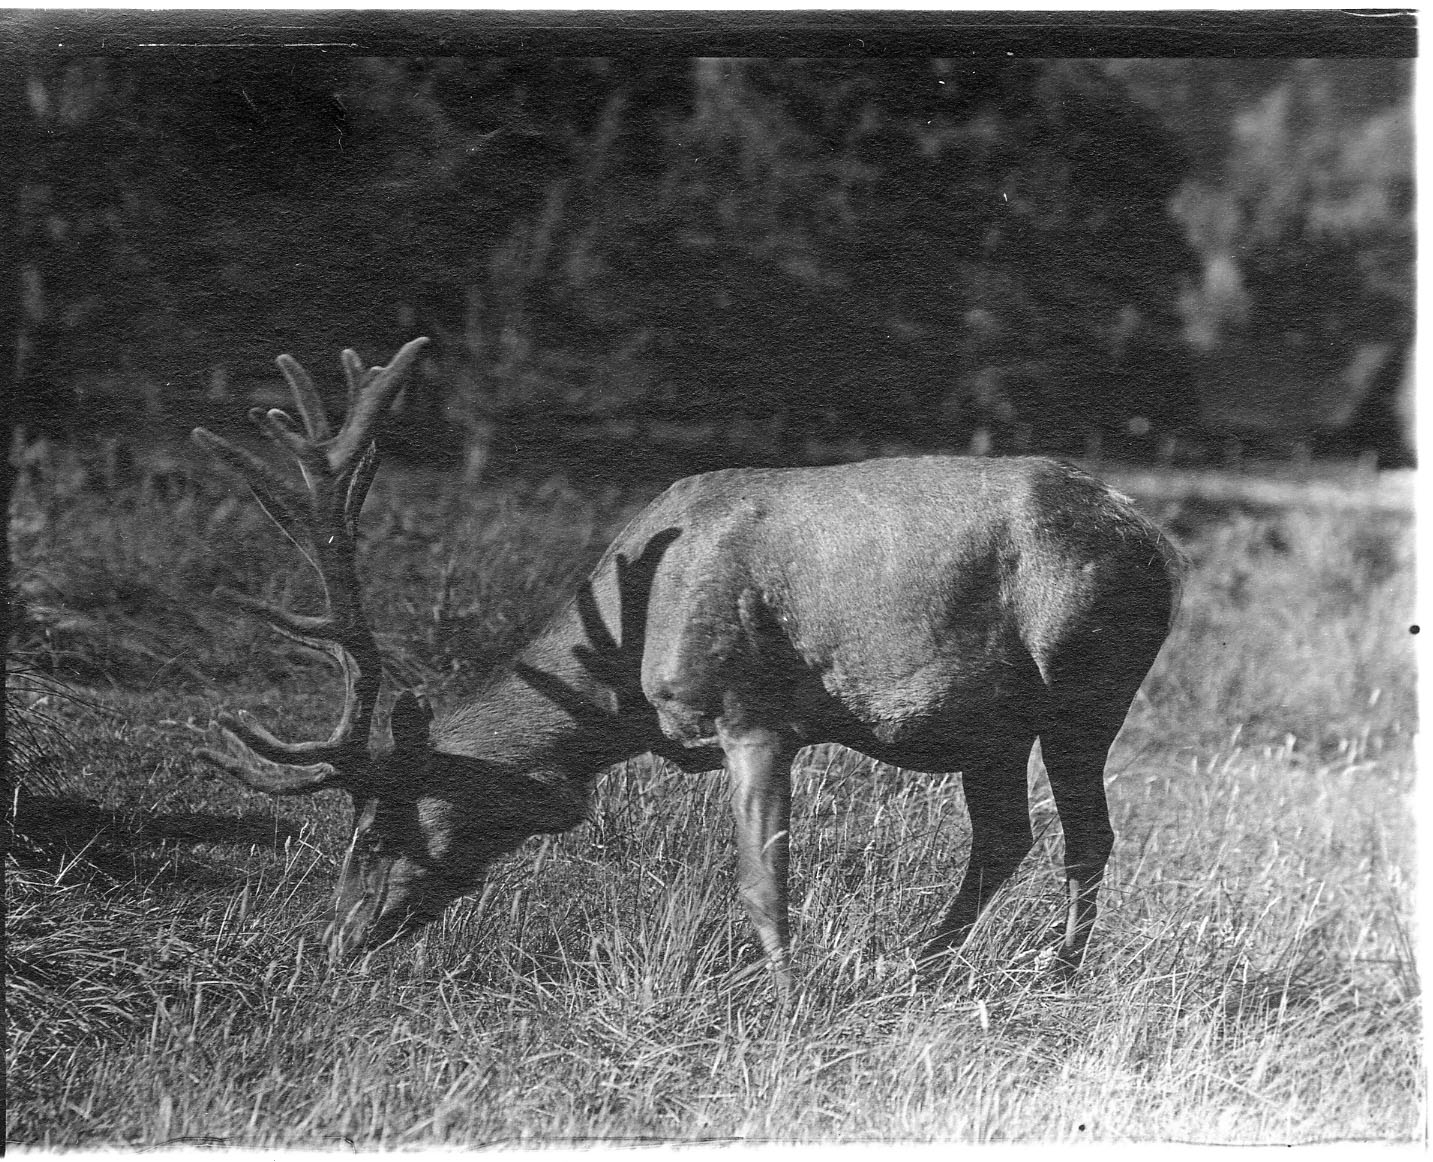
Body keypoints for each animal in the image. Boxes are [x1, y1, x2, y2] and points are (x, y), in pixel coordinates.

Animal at [191, 337, 1184, 993]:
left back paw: (1054, 971)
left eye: (372, 831)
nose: (335, 941)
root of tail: (1155, 539)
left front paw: (783, 996)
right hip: (994, 726)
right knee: (1007, 835)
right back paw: (922, 962)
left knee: (1087, 833)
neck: (624, 683)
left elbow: (761, 881)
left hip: (1087, 683)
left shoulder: (754, 714)